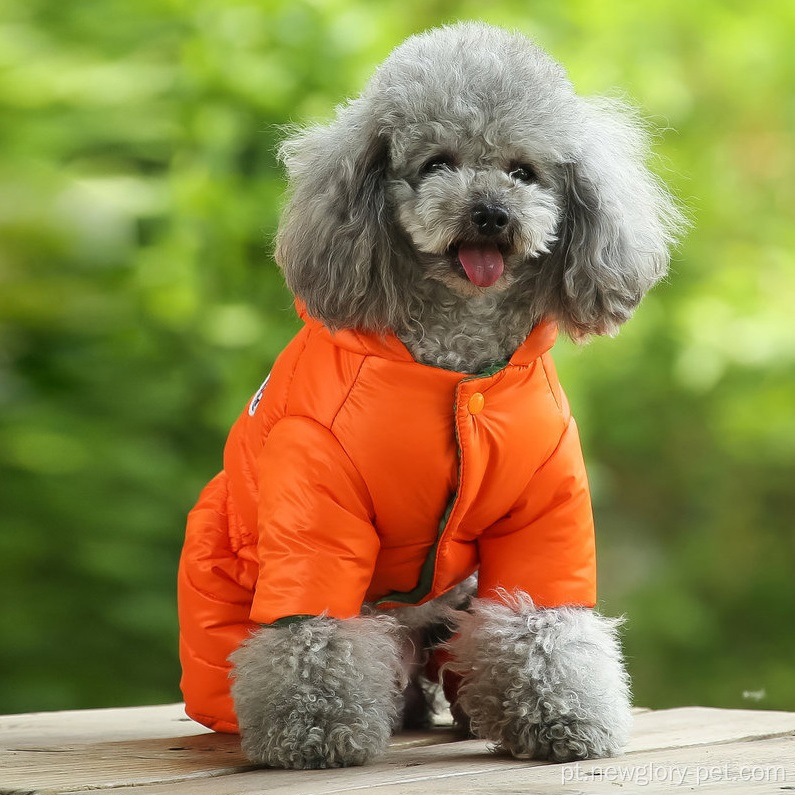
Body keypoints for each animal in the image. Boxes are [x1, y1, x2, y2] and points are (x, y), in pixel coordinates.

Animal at [179, 21, 684, 768]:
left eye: (523, 171)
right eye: (437, 163)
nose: (491, 213)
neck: (457, 372)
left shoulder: (544, 504)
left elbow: (542, 617)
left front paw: (563, 717)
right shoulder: (314, 504)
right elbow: (310, 630)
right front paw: (314, 729)